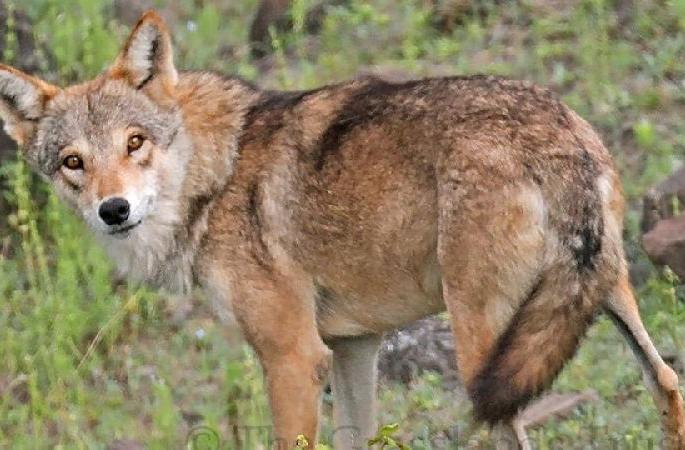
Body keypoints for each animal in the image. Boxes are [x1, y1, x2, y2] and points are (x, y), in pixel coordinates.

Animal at [0, 10, 683, 450]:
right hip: (607, 297)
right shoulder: (353, 347)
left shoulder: (294, 357)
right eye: (72, 162)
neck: (219, 171)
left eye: (134, 142)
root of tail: (556, 132)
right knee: (668, 381)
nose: (113, 210)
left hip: (483, 352)